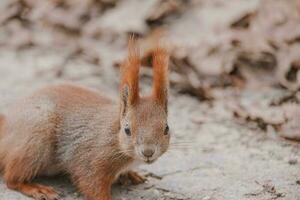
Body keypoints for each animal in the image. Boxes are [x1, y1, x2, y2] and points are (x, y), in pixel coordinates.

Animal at [0, 38, 170, 200]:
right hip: (34, 141)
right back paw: (36, 188)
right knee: (11, 178)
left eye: (166, 128)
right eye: (127, 130)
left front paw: (130, 174)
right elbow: (90, 182)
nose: (148, 152)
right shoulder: (92, 159)